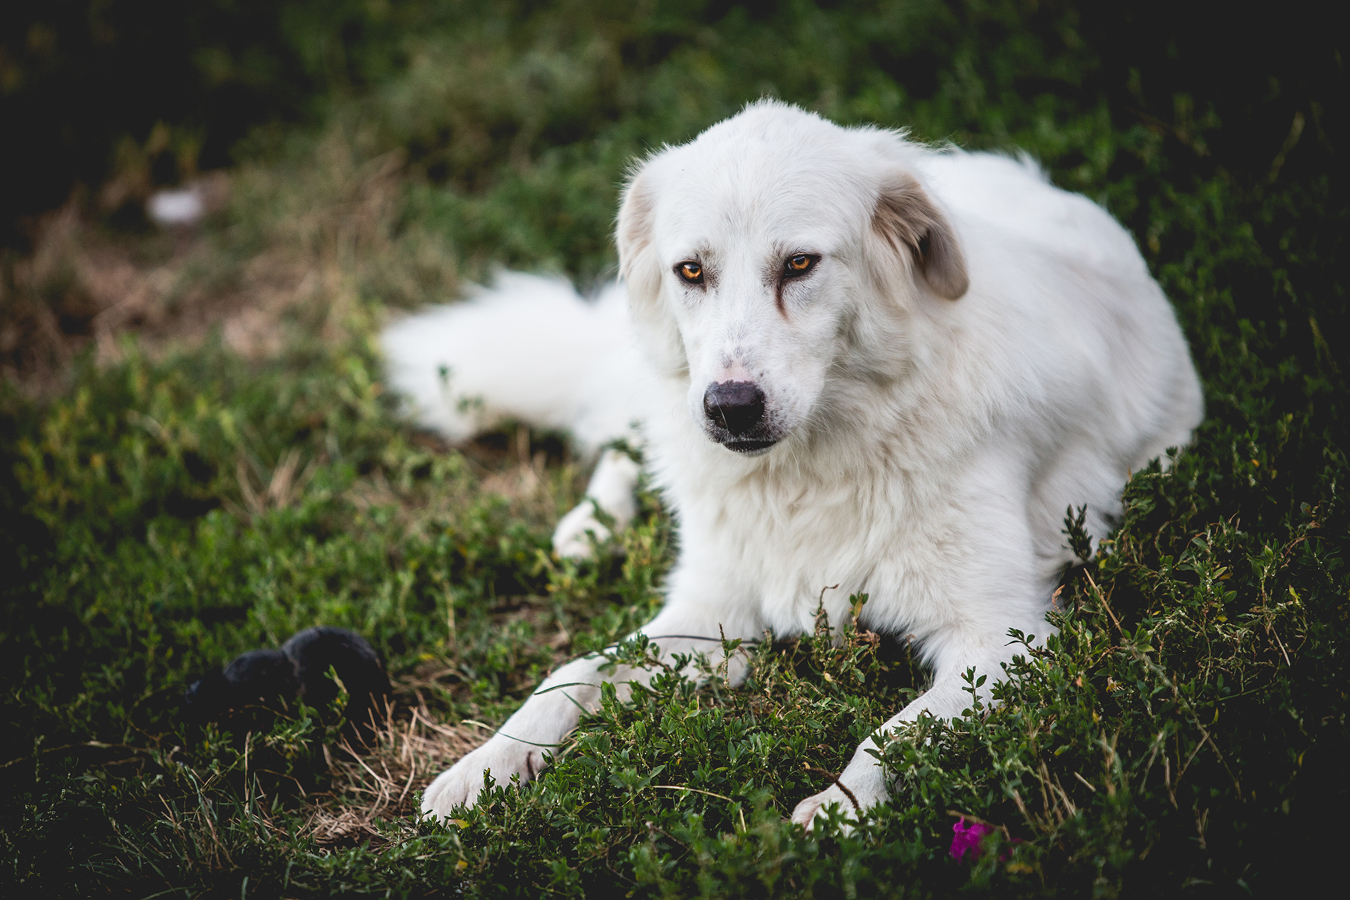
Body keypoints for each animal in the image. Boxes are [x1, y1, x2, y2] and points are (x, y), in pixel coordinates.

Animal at [380, 100, 1204, 831]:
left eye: (800, 264)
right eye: (691, 271)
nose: (729, 408)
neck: (809, 471)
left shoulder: (1002, 640)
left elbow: (893, 735)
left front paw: (841, 812)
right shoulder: (711, 612)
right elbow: (572, 673)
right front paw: (484, 765)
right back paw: (591, 524)